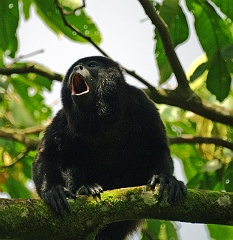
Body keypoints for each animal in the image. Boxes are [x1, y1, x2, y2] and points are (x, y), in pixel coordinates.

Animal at [32, 55, 186, 238]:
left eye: (92, 65)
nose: (78, 68)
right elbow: (48, 154)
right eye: (75, 68)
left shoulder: (141, 103)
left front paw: (165, 178)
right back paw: (86, 188)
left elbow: (157, 147)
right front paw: (53, 190)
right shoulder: (64, 117)